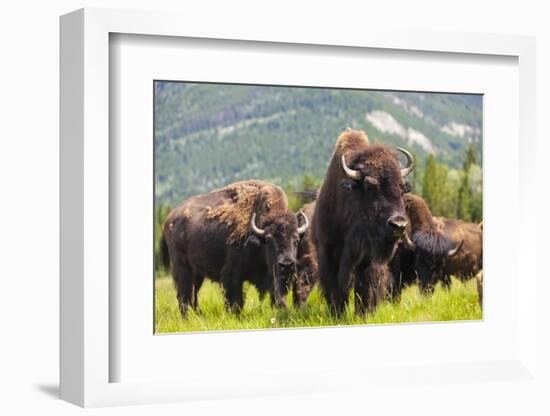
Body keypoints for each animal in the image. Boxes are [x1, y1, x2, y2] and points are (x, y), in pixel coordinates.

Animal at [162, 180, 312, 316]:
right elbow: (236, 300)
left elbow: (277, 296)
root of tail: (169, 219)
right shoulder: (232, 275)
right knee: (184, 296)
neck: (258, 237)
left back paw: (200, 316)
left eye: (296, 240)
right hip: (182, 268)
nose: (286, 264)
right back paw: (187, 319)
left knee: (193, 296)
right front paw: (234, 316)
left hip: (197, 273)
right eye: (269, 240)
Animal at [312, 128, 416, 314]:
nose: (398, 225)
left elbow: (366, 289)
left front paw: (364, 314)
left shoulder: (368, 260)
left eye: (402, 188)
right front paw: (337, 313)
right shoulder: (328, 253)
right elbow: (336, 289)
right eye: (369, 186)